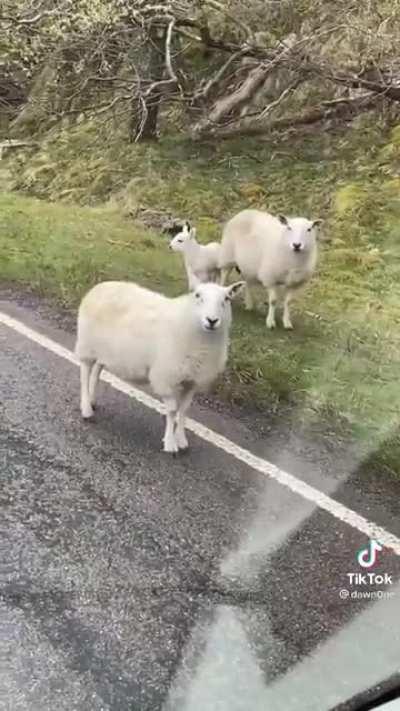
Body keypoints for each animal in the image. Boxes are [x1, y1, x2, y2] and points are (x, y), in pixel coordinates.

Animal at [75, 277, 244, 453]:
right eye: (198, 295)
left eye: (227, 299)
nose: (212, 320)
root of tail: (101, 285)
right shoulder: (166, 377)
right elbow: (172, 410)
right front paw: (170, 443)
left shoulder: (192, 380)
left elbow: (184, 410)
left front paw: (181, 438)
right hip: (87, 344)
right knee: (85, 372)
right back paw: (86, 409)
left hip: (104, 350)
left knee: (97, 371)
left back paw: (92, 400)